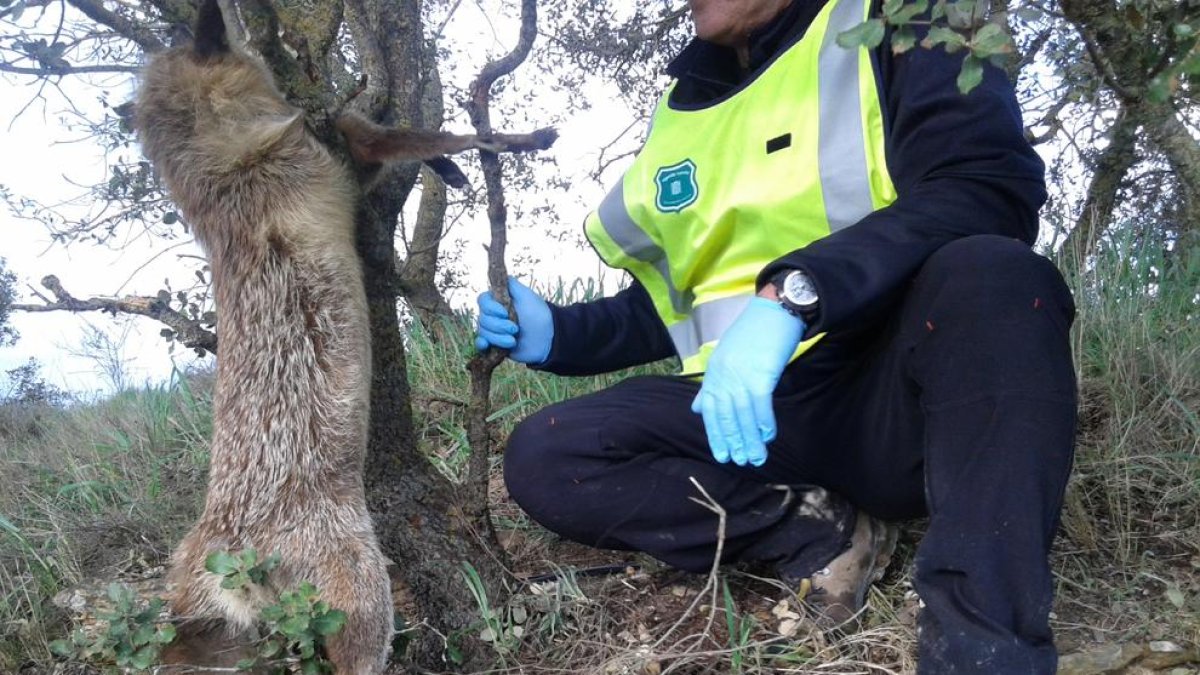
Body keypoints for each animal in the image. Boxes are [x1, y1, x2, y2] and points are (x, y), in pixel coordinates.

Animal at [133, 0, 554, 667]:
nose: (221, 20)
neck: (221, 175)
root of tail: (231, 550)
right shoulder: (341, 154)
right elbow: (439, 135)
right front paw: (519, 139)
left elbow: (422, 144)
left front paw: (451, 169)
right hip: (363, 596)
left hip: (231, 644)